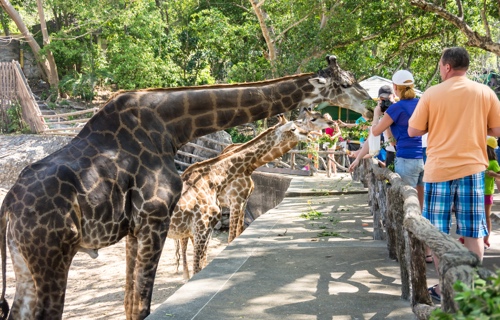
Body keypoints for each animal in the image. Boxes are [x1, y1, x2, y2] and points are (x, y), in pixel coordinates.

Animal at [0, 55, 368, 320]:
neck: (173, 127)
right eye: (346, 82)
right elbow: (145, 304)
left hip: (25, 260)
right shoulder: (156, 219)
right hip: (52, 255)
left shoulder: (135, 230)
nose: (368, 102)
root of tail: (8, 209)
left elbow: (130, 304)